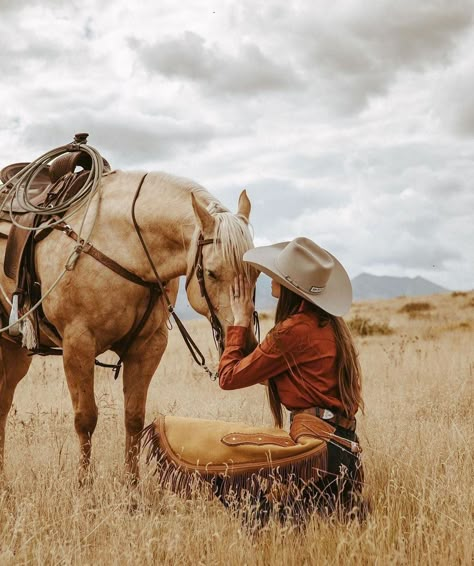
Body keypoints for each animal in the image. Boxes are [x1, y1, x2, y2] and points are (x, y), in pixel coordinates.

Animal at [0, 170, 258, 484]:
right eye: (211, 273)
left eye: (256, 273)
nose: (246, 346)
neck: (124, 245)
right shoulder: (78, 344)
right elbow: (85, 419)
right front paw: (85, 487)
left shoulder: (148, 346)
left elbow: (134, 417)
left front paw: (132, 487)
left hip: (14, 351)